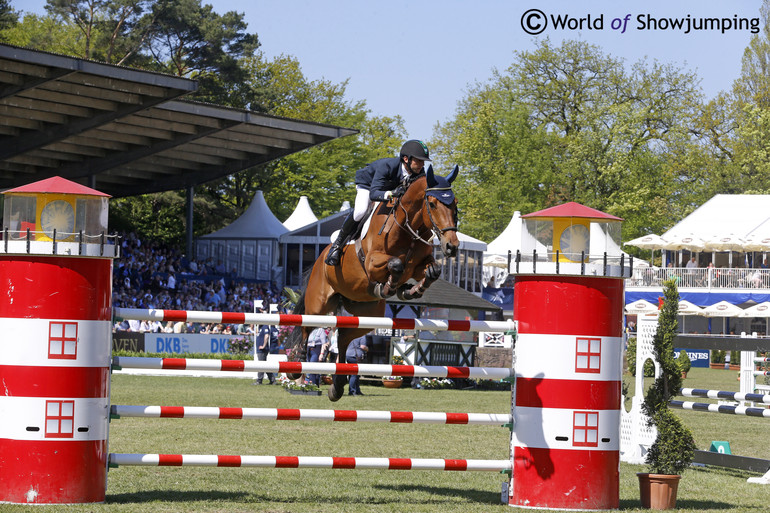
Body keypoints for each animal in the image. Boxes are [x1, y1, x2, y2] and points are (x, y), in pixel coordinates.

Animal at [286, 164, 456, 400]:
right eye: (432, 204)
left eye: (455, 205)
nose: (451, 246)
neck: (407, 226)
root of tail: (320, 258)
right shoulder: (373, 262)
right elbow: (396, 264)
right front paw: (391, 286)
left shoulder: (418, 265)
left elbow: (433, 271)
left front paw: (410, 290)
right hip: (319, 304)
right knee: (306, 328)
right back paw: (297, 368)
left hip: (368, 314)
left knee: (343, 337)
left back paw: (337, 385)